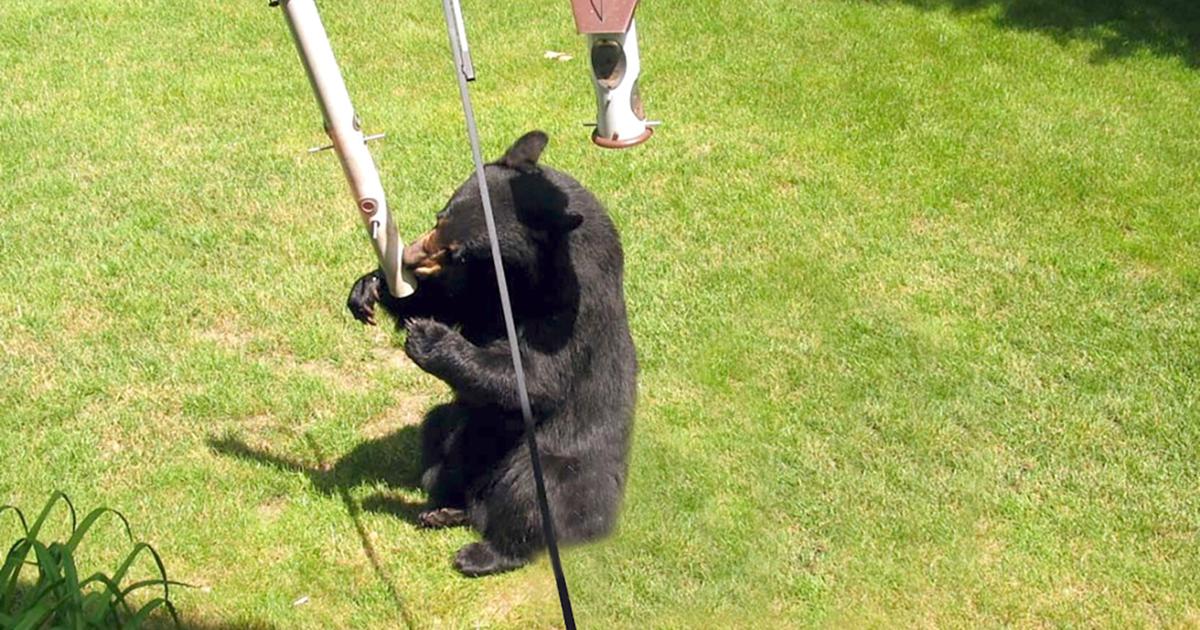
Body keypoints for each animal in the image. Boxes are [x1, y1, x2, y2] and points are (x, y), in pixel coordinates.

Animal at [345, 131, 637, 577]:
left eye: (458, 249)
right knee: (439, 434)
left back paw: (482, 552)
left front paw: (429, 337)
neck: (524, 276)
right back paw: (446, 508)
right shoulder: (486, 288)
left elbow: (536, 376)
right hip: (460, 427)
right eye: (439, 218)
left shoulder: (572, 306)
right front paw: (372, 286)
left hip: (560, 463)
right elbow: (456, 302)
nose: (410, 256)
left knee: (532, 494)